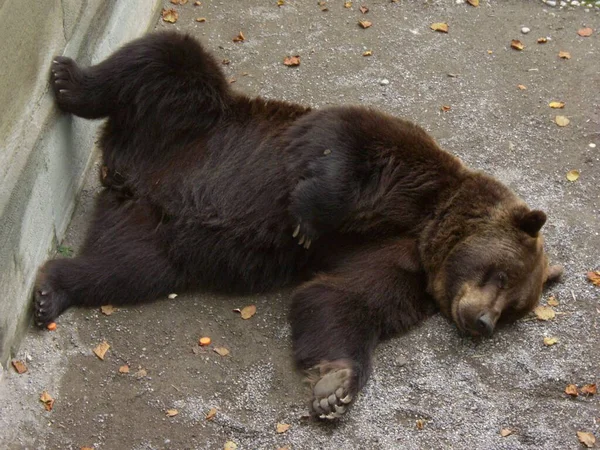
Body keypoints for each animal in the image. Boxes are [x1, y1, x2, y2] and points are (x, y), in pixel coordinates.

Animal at [38, 30, 564, 418]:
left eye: (515, 309)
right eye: (501, 275)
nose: (483, 322)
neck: (428, 228)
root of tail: (126, 171)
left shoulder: (398, 265)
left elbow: (341, 297)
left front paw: (336, 384)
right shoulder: (402, 167)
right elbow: (340, 143)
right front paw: (305, 221)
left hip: (150, 232)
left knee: (126, 269)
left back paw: (52, 291)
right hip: (189, 121)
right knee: (168, 60)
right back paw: (68, 79)